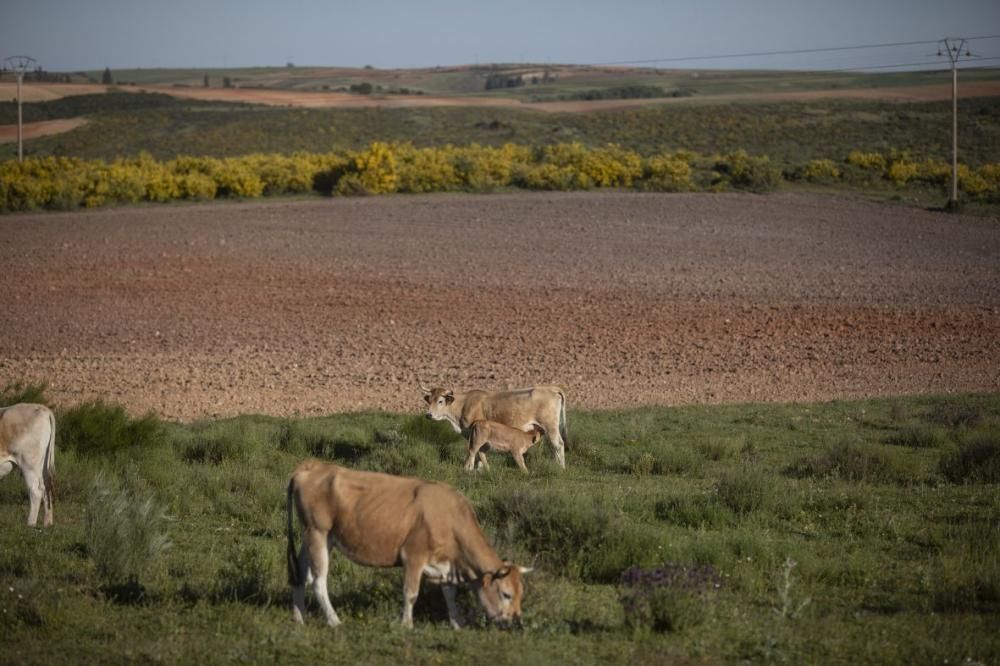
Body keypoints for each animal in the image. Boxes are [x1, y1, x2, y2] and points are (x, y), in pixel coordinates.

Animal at [288, 460, 532, 624]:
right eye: (506, 594)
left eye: (521, 594)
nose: (517, 622)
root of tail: (312, 466)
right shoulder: (414, 557)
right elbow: (411, 593)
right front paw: (406, 625)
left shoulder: (445, 563)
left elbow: (449, 594)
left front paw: (457, 623)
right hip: (318, 532)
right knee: (318, 581)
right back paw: (334, 620)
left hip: (314, 536)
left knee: (300, 574)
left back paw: (299, 617)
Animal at [418, 382, 568, 470]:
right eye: (429, 400)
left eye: (440, 401)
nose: (429, 415)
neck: (464, 404)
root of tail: (551, 388)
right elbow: (479, 451)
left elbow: (476, 451)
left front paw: (473, 469)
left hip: (550, 426)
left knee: (558, 445)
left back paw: (561, 468)